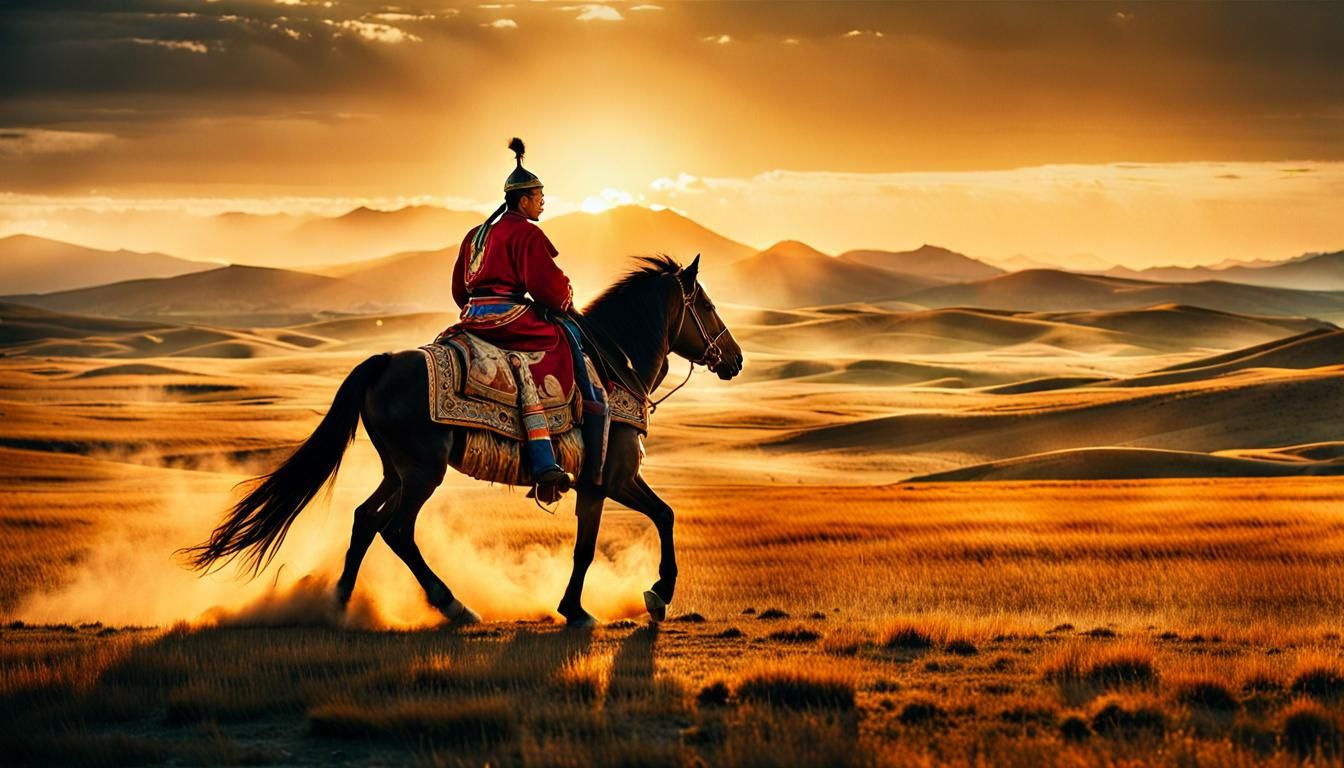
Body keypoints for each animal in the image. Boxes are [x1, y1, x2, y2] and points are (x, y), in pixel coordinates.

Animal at [182, 254, 744, 627]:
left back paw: (338, 603)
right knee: (397, 530)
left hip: (397, 471)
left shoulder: (608, 481)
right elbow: (604, 541)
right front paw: (596, 606)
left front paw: (649, 595)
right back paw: (453, 605)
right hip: (422, 474)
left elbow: (659, 517)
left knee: (364, 520)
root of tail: (383, 362)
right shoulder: (610, 478)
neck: (613, 364)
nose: (735, 359)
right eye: (708, 305)